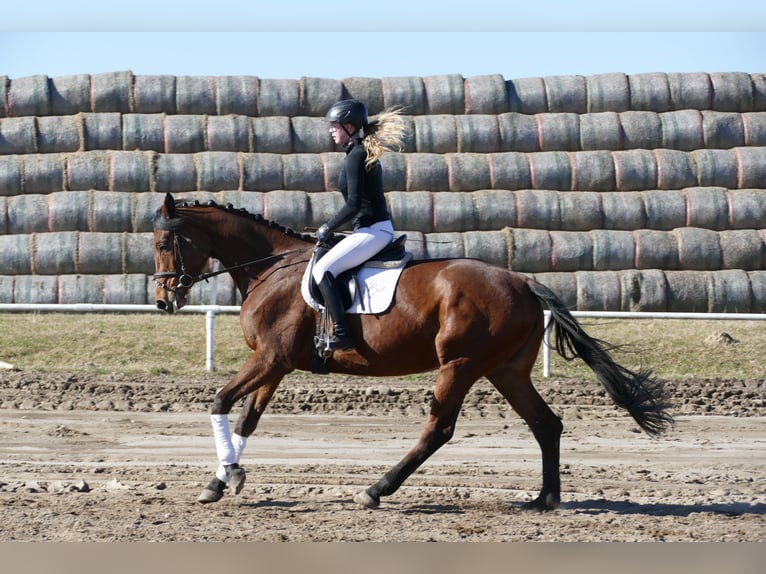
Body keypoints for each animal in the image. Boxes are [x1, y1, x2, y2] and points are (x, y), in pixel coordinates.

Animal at [152, 192, 673, 511]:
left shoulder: (269, 360)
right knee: (546, 424)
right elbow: (247, 420)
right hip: (506, 371)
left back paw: (375, 490)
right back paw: (544, 499)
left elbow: (220, 401)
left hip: (459, 366)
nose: (162, 301)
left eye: (163, 241)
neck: (271, 268)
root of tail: (523, 281)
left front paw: (225, 477)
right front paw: (223, 479)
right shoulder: (275, 365)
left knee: (438, 429)